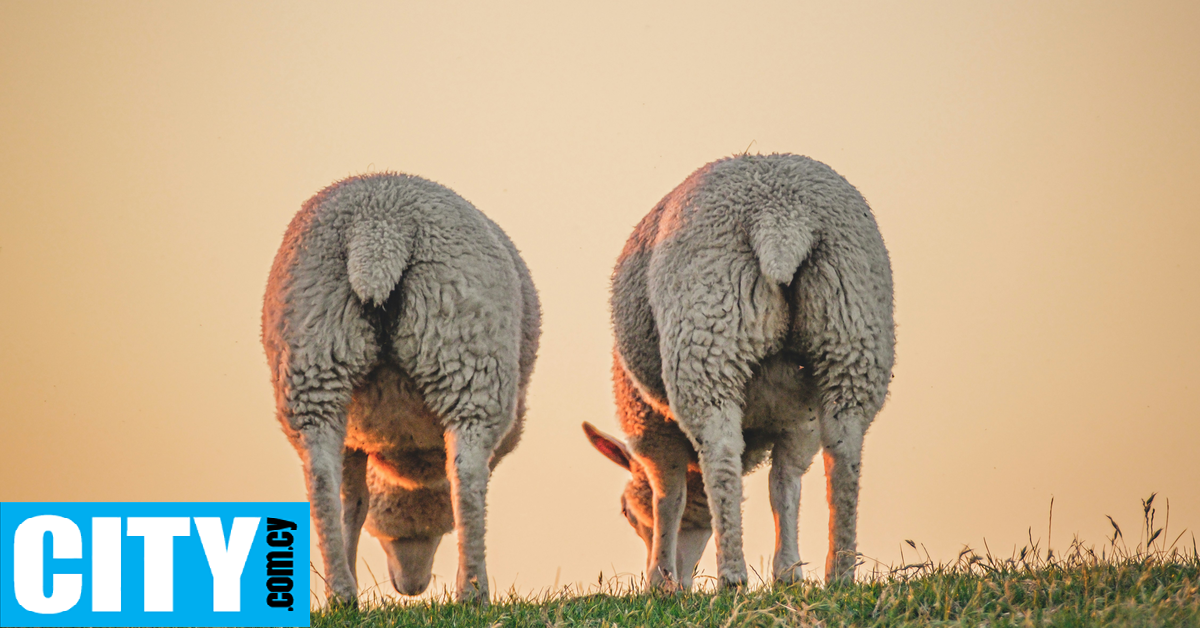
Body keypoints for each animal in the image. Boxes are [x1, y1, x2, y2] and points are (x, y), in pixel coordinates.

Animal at [267, 171, 544, 605]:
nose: (411, 589)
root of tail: (379, 229)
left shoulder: (355, 438)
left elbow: (354, 503)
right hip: (469, 355)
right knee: (466, 479)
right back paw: (473, 592)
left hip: (313, 354)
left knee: (322, 482)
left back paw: (341, 594)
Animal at [580, 152, 892, 590]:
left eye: (626, 511)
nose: (682, 582)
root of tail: (780, 218)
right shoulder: (799, 419)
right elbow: (784, 486)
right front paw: (789, 573)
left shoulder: (650, 429)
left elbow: (668, 498)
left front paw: (658, 582)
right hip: (850, 325)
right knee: (842, 453)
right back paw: (840, 573)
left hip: (709, 329)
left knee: (722, 452)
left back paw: (731, 576)